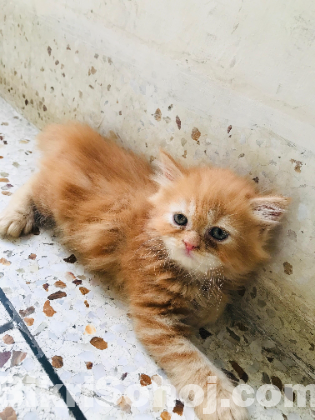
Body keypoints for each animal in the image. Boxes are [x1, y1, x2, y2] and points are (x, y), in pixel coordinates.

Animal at [0, 124, 290, 420]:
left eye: (218, 233)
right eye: (180, 219)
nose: (190, 244)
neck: (191, 277)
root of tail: (81, 140)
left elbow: (213, 308)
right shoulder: (155, 319)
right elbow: (192, 361)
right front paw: (222, 402)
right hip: (52, 198)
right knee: (33, 183)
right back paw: (14, 217)